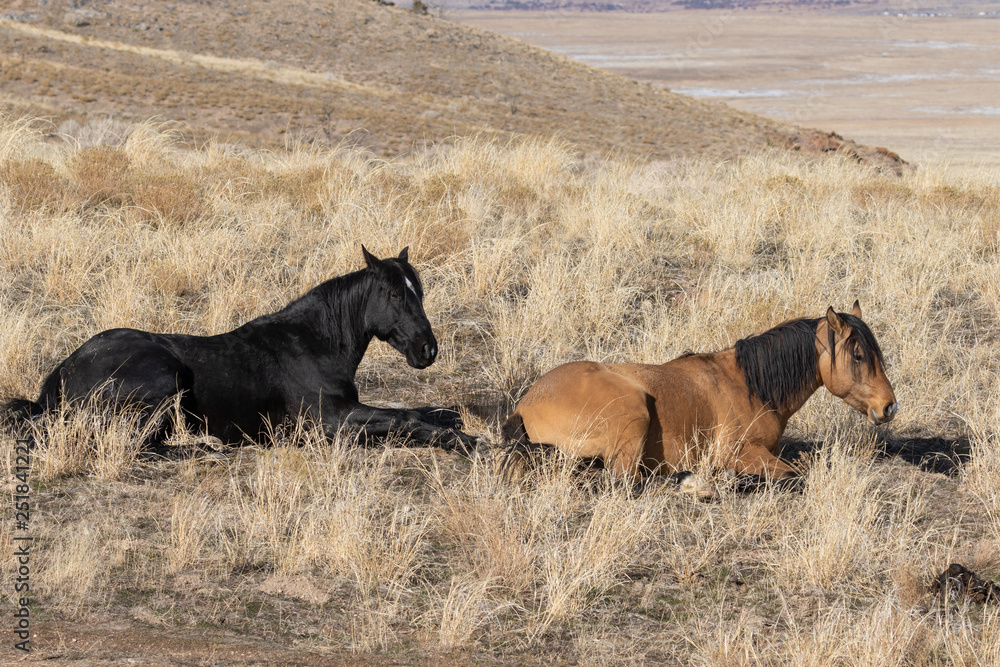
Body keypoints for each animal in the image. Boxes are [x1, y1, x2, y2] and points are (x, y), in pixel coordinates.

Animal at [2, 246, 476, 453]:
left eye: (419, 291)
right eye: (395, 294)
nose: (428, 349)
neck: (316, 344)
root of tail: (65, 371)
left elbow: (411, 414)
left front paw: (460, 431)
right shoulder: (329, 421)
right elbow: (402, 421)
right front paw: (463, 442)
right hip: (165, 379)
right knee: (138, 443)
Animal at [501, 302, 896, 494]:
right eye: (858, 355)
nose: (889, 407)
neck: (750, 384)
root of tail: (525, 404)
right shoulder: (740, 453)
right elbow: (794, 476)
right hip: (634, 412)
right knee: (626, 482)